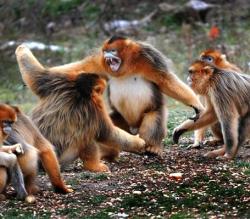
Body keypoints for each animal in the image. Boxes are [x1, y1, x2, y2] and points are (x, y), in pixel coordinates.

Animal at [14, 44, 146, 173]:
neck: (79, 91)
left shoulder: (59, 81)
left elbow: (36, 75)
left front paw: (22, 49)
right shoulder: (94, 109)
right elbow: (108, 133)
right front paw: (139, 142)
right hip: (63, 158)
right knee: (86, 136)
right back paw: (93, 166)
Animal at [47, 36, 204, 155]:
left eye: (112, 50)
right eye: (105, 51)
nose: (107, 56)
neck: (127, 66)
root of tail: (133, 128)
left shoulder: (149, 57)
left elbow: (165, 80)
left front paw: (196, 104)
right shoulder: (99, 61)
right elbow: (80, 68)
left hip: (150, 114)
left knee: (154, 117)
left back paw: (152, 147)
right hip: (122, 120)